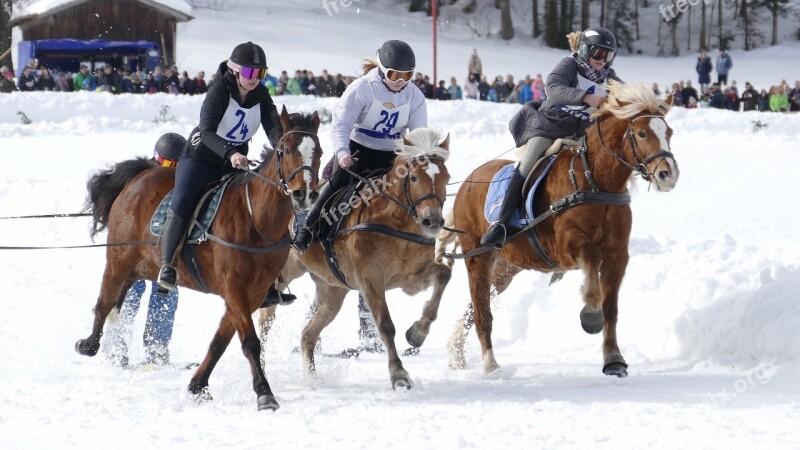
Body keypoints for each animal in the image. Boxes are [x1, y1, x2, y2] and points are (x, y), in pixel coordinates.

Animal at [74, 106, 322, 412]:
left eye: (319, 152)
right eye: (285, 151)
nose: (305, 194)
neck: (256, 219)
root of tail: (140, 175)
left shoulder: (253, 293)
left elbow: (220, 341)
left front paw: (198, 385)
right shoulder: (235, 289)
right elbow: (250, 342)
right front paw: (264, 393)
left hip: (144, 264)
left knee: (123, 292)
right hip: (119, 259)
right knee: (105, 300)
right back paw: (89, 344)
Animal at [444, 82, 680, 378]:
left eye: (669, 132)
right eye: (641, 133)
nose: (668, 174)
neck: (594, 181)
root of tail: (468, 182)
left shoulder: (618, 255)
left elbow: (611, 308)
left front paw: (613, 358)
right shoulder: (566, 245)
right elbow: (591, 259)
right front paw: (590, 313)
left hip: (508, 266)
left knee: (477, 303)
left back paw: (456, 351)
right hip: (478, 256)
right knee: (481, 308)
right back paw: (490, 365)